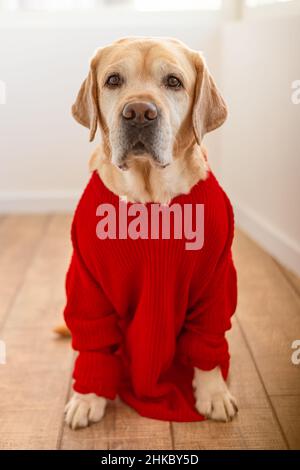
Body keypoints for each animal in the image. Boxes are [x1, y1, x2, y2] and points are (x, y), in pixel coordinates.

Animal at [61, 36, 238, 430]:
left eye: (173, 82)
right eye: (113, 80)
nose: (139, 112)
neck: (151, 198)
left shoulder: (215, 283)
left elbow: (208, 339)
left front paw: (213, 392)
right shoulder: (88, 286)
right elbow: (93, 341)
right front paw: (88, 396)